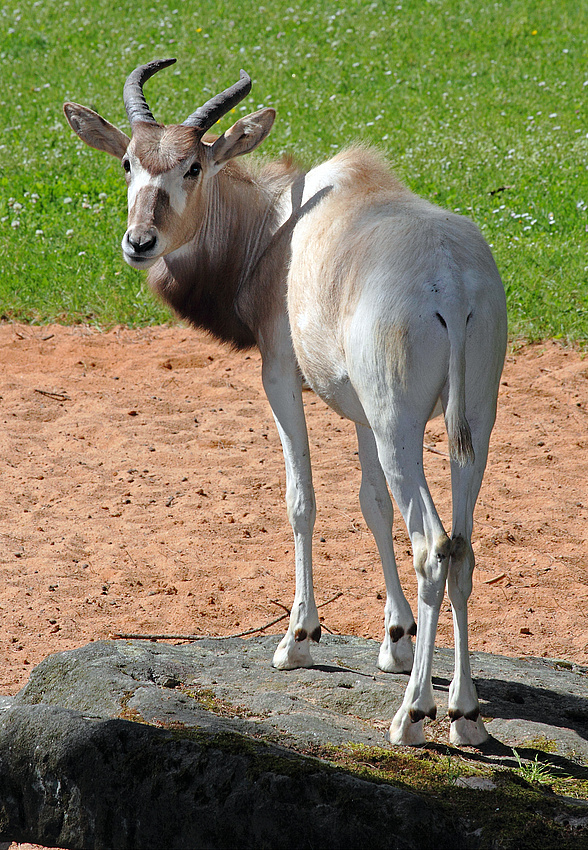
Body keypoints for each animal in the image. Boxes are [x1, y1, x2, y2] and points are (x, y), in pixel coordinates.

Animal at [63, 58, 506, 744]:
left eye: (193, 167)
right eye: (128, 163)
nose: (140, 242)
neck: (280, 227)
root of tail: (452, 280)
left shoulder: (279, 379)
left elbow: (303, 499)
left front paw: (298, 639)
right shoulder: (359, 413)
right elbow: (372, 504)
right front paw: (395, 640)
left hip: (400, 426)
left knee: (434, 547)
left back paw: (412, 716)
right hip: (467, 427)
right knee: (462, 547)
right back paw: (465, 715)